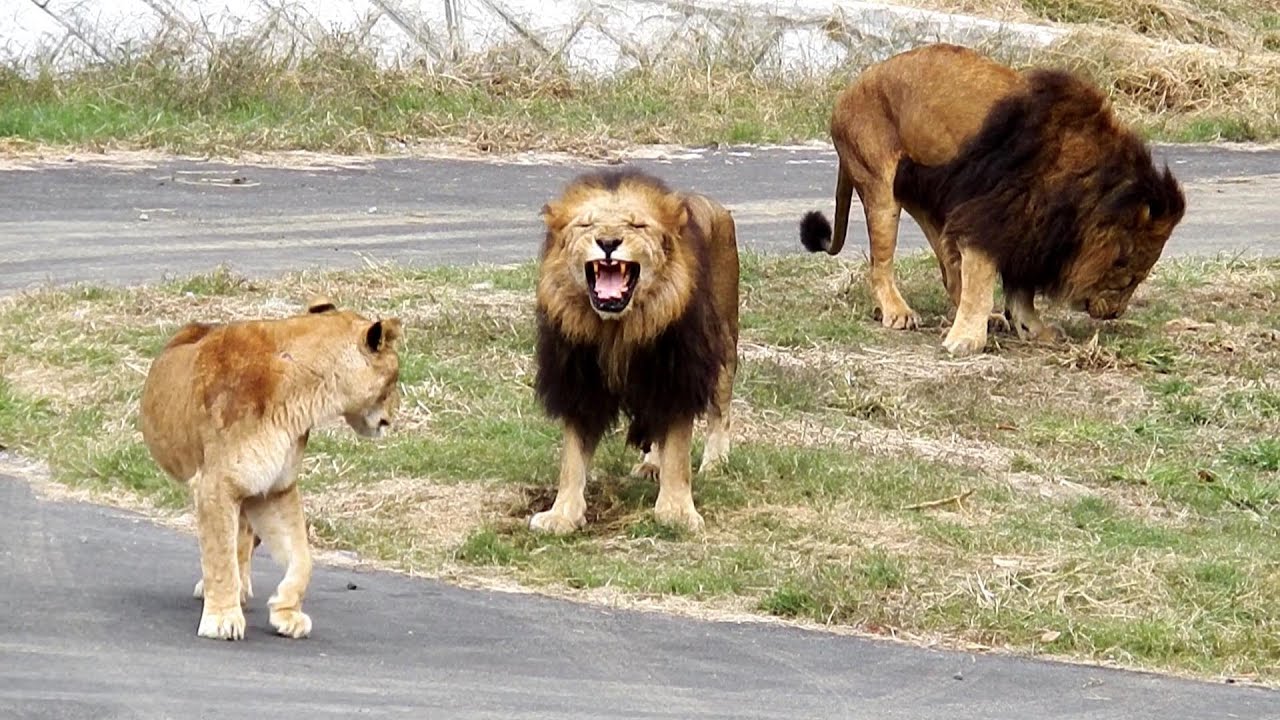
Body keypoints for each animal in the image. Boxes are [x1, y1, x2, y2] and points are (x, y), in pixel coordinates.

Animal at [140, 298, 402, 640]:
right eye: (395, 378)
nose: (393, 416)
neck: (304, 389)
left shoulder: (275, 487)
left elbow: (302, 557)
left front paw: (286, 613)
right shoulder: (216, 484)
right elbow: (219, 556)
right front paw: (222, 619)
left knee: (243, 540)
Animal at [531, 168, 739, 535]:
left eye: (638, 226)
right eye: (586, 225)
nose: (608, 242)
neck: (618, 328)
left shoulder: (678, 374)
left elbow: (678, 450)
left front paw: (677, 512)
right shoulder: (580, 383)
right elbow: (572, 458)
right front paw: (562, 514)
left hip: (724, 344)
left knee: (720, 411)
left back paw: (716, 463)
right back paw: (651, 465)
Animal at [799, 44, 1185, 355]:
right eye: (1130, 275)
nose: (1115, 313)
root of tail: (846, 94)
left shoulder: (1027, 227)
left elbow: (1020, 291)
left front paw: (1033, 329)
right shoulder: (989, 215)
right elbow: (981, 283)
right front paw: (965, 341)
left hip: (930, 202)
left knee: (949, 270)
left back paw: (990, 317)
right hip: (880, 187)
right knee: (881, 265)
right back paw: (898, 312)